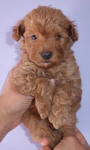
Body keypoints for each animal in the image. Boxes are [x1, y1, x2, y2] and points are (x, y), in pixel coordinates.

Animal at [11, 6, 81, 148]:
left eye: (58, 36)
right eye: (34, 37)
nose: (46, 55)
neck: (48, 68)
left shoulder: (73, 79)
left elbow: (63, 92)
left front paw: (57, 117)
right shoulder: (20, 75)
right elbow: (42, 81)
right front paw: (44, 108)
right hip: (35, 123)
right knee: (45, 133)